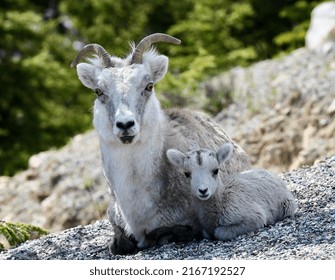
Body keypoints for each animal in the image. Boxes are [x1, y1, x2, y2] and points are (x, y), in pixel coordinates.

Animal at [167, 143, 296, 240]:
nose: (203, 190)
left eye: (216, 170)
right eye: (187, 174)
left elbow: (219, 232)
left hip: (287, 206)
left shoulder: (254, 218)